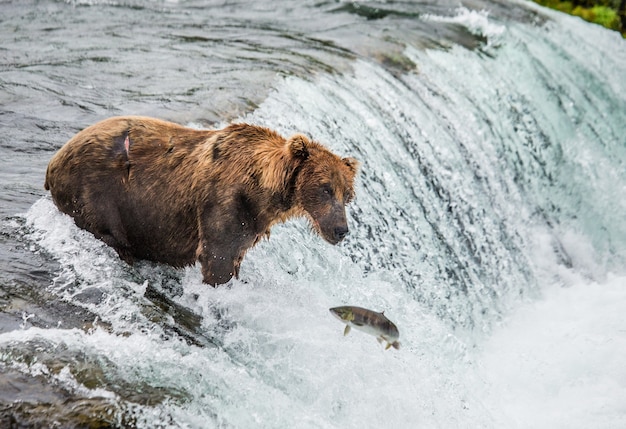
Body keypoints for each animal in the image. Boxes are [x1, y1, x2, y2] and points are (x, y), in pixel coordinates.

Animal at [44, 116, 358, 284]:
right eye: (326, 188)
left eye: (347, 194)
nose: (341, 230)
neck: (263, 191)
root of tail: (53, 161)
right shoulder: (225, 205)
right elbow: (218, 258)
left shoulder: (250, 224)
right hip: (97, 195)